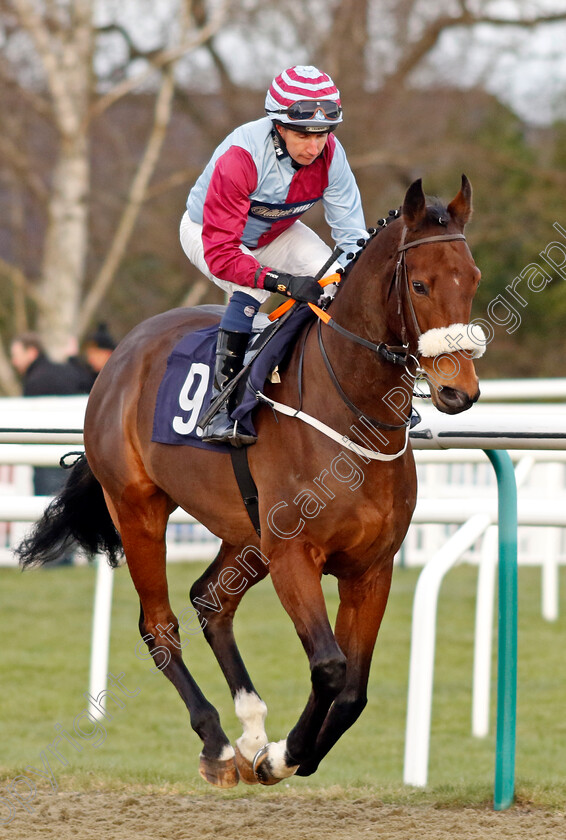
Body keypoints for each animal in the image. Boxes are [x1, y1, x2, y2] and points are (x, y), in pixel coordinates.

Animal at [20, 176, 486, 788]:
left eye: (472, 277)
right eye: (420, 283)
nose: (461, 391)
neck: (348, 411)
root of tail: (121, 354)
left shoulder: (371, 567)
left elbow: (354, 691)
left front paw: (286, 750)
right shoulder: (294, 555)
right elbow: (330, 667)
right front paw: (283, 756)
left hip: (245, 532)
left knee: (210, 601)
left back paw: (250, 727)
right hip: (138, 507)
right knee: (159, 624)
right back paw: (218, 743)